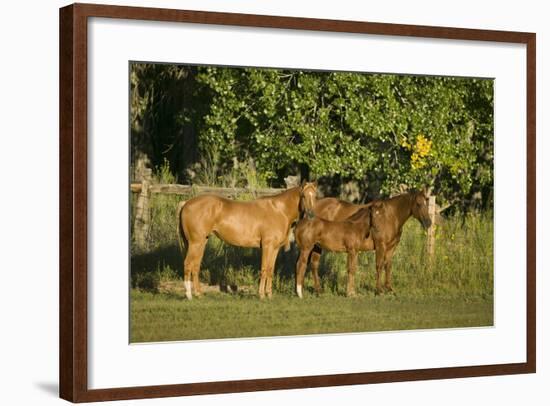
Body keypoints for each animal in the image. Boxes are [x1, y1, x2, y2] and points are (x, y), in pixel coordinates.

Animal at [177, 182, 320, 300]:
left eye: (315, 196)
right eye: (303, 196)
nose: (311, 215)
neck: (279, 210)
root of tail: (186, 203)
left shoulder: (274, 248)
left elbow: (270, 270)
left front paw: (269, 294)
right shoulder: (267, 246)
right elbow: (264, 269)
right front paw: (261, 295)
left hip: (201, 243)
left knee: (195, 266)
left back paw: (198, 294)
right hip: (195, 243)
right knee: (188, 264)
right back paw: (189, 295)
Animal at [304, 190, 434, 294]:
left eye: (427, 203)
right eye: (418, 204)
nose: (428, 223)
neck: (390, 216)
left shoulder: (391, 248)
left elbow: (388, 266)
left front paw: (389, 288)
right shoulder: (381, 246)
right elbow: (379, 265)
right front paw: (379, 290)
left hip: (317, 246)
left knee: (314, 265)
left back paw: (318, 290)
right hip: (316, 246)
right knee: (314, 264)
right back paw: (318, 290)